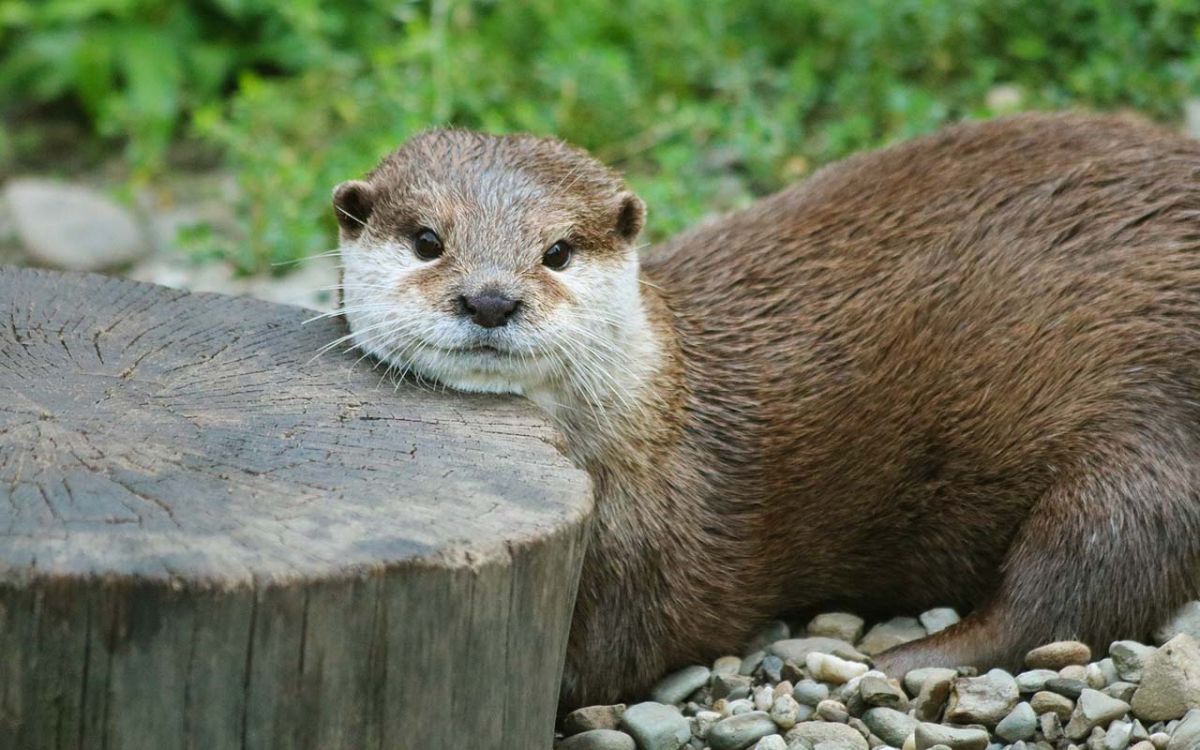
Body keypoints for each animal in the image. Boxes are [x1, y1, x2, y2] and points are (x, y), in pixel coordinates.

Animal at [333, 112, 1200, 705]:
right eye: (427, 240)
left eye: (557, 250)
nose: (489, 299)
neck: (664, 429)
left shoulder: (648, 552)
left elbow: (605, 663)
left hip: (1146, 420)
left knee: (1082, 578)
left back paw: (898, 662)